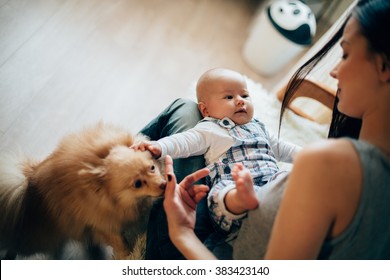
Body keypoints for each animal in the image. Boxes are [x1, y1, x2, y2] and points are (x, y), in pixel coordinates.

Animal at [0, 123, 165, 260]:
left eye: (152, 167)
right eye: (137, 184)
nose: (164, 184)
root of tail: (29, 178)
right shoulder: (101, 222)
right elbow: (119, 241)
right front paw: (128, 255)